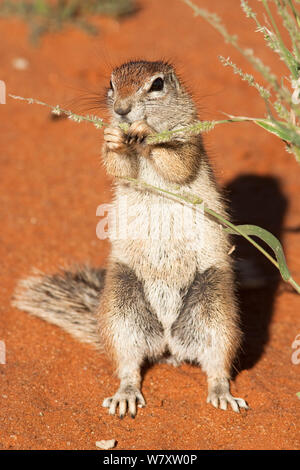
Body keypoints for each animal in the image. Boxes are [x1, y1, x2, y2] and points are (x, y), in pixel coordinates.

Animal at [13, 60, 248, 416]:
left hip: (216, 312)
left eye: (157, 84)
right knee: (129, 366)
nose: (122, 110)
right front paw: (114, 136)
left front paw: (146, 132)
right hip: (121, 310)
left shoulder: (189, 140)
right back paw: (125, 395)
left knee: (217, 365)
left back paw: (222, 394)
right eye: (111, 84)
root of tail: (168, 344)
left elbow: (177, 163)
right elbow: (118, 165)